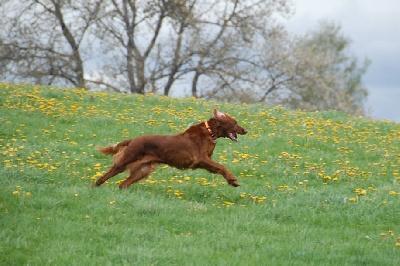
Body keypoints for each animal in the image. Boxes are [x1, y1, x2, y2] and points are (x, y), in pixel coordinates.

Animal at [93, 109, 247, 188]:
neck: (209, 132)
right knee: (107, 175)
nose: (245, 130)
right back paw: (95, 187)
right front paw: (233, 178)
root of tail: (133, 140)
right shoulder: (201, 159)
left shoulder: (206, 161)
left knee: (123, 184)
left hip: (142, 170)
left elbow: (219, 168)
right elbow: (221, 166)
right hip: (126, 161)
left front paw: (231, 181)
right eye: (234, 123)